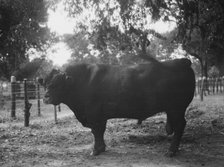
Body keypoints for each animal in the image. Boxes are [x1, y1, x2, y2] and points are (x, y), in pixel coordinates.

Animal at [39, 58, 195, 157]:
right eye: (45, 83)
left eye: (57, 84)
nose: (46, 97)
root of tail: (181, 61)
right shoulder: (100, 116)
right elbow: (100, 131)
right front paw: (101, 148)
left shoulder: (93, 114)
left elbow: (96, 131)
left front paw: (95, 150)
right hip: (174, 109)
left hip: (176, 108)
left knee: (180, 126)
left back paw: (171, 151)